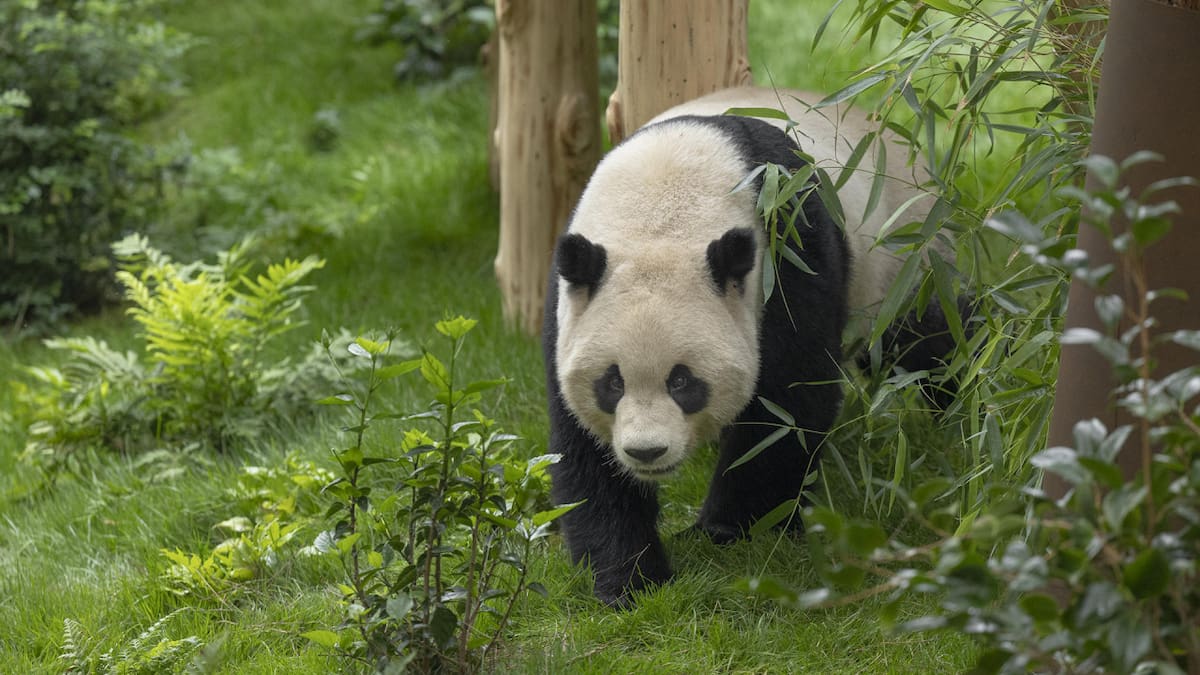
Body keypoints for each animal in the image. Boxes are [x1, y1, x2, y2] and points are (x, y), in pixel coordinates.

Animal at [543, 87, 954, 607]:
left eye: (683, 382)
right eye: (611, 383)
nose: (647, 452)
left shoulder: (788, 246)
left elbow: (786, 405)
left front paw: (729, 529)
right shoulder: (569, 305)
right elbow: (584, 449)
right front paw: (629, 580)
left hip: (903, 259)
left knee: (930, 343)